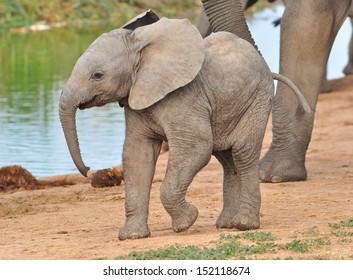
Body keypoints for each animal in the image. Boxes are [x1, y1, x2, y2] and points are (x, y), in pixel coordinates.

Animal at [59, 9, 310, 240]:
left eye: (97, 75)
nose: (88, 169)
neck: (142, 47)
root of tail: (268, 69)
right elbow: (137, 155)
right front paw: (132, 236)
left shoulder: (185, 97)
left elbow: (196, 147)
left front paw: (186, 222)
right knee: (227, 158)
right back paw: (226, 224)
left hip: (258, 98)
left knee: (242, 152)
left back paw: (244, 225)